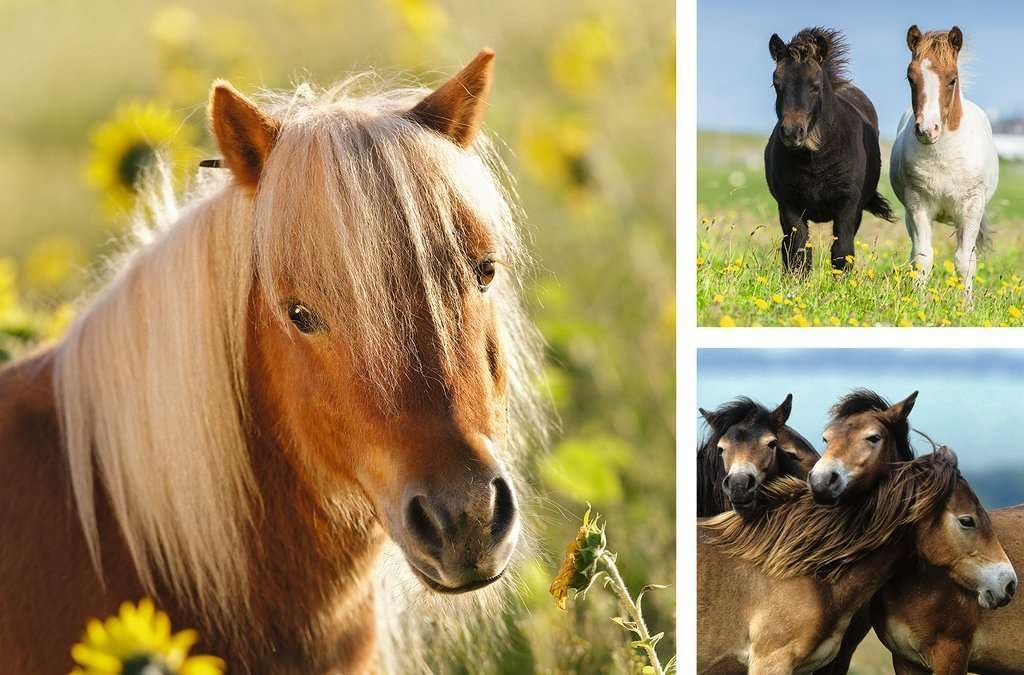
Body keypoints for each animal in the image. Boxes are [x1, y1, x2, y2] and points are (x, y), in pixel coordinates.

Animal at [765, 27, 895, 273]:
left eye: (815, 85)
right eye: (776, 83)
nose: (792, 133)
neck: (815, 159)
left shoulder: (848, 207)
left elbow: (842, 252)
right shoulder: (789, 206)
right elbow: (799, 252)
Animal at [890, 25, 999, 302]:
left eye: (952, 79)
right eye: (910, 77)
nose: (927, 130)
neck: (943, 155)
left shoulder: (971, 208)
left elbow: (964, 262)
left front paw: (966, 306)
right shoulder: (918, 205)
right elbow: (922, 258)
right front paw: (918, 302)